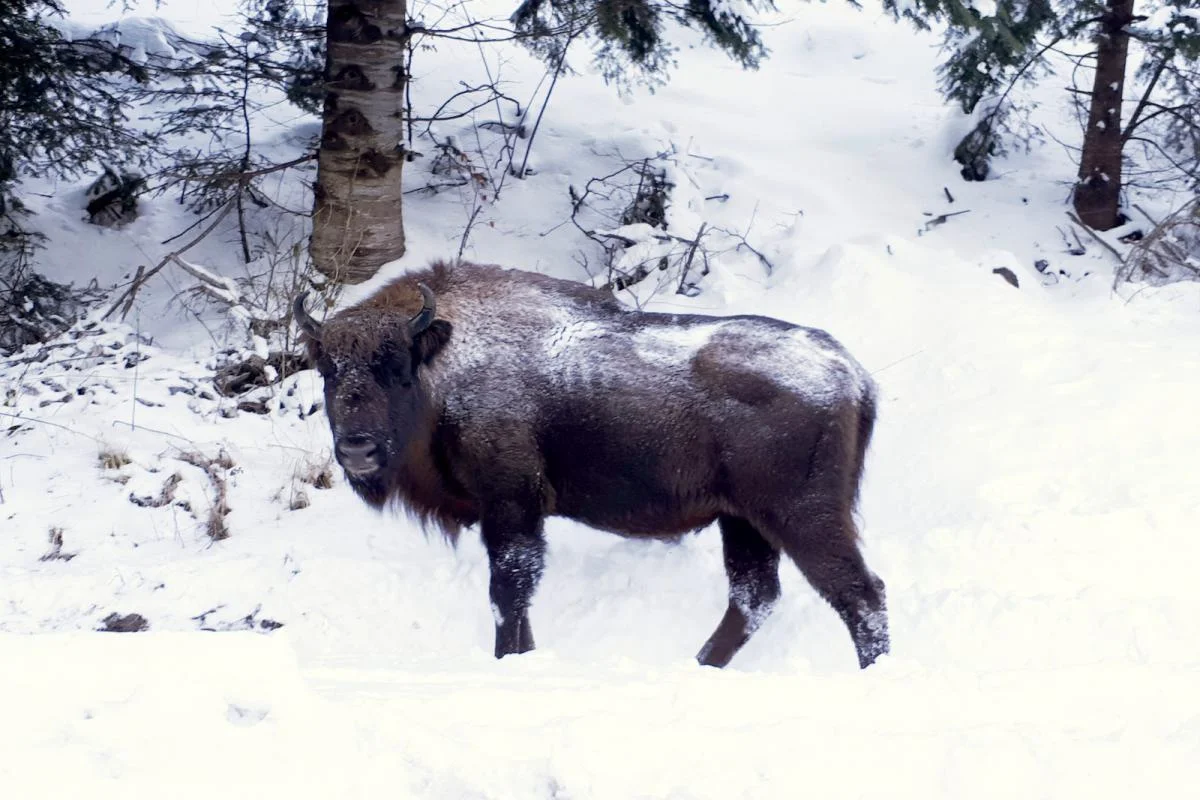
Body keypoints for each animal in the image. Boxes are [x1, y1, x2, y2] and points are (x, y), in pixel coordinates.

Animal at [295, 262, 888, 671]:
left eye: (395, 366)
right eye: (327, 370)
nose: (357, 450)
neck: (446, 362)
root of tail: (854, 374)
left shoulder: (511, 507)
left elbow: (508, 593)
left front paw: (510, 660)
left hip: (801, 517)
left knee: (860, 594)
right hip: (743, 523)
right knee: (754, 599)